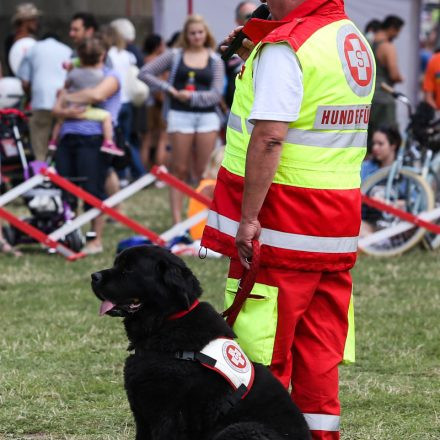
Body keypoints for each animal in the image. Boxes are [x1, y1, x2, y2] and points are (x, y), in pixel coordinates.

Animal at [90, 246, 310, 438]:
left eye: (129, 269)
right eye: (116, 263)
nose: (93, 276)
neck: (166, 321)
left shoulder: (167, 417)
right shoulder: (143, 416)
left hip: (241, 429)